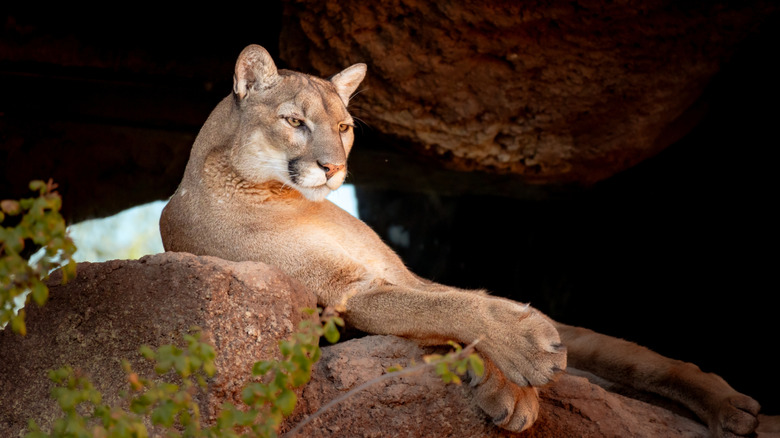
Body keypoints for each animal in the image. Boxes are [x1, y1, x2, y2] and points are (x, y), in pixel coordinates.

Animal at [160, 45, 760, 438]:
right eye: (294, 122)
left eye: (345, 127)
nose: (334, 168)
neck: (289, 197)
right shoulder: (349, 292)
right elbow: (446, 310)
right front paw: (514, 379)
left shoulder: (397, 275)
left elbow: (449, 302)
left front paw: (512, 374)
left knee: (634, 358)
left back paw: (732, 406)